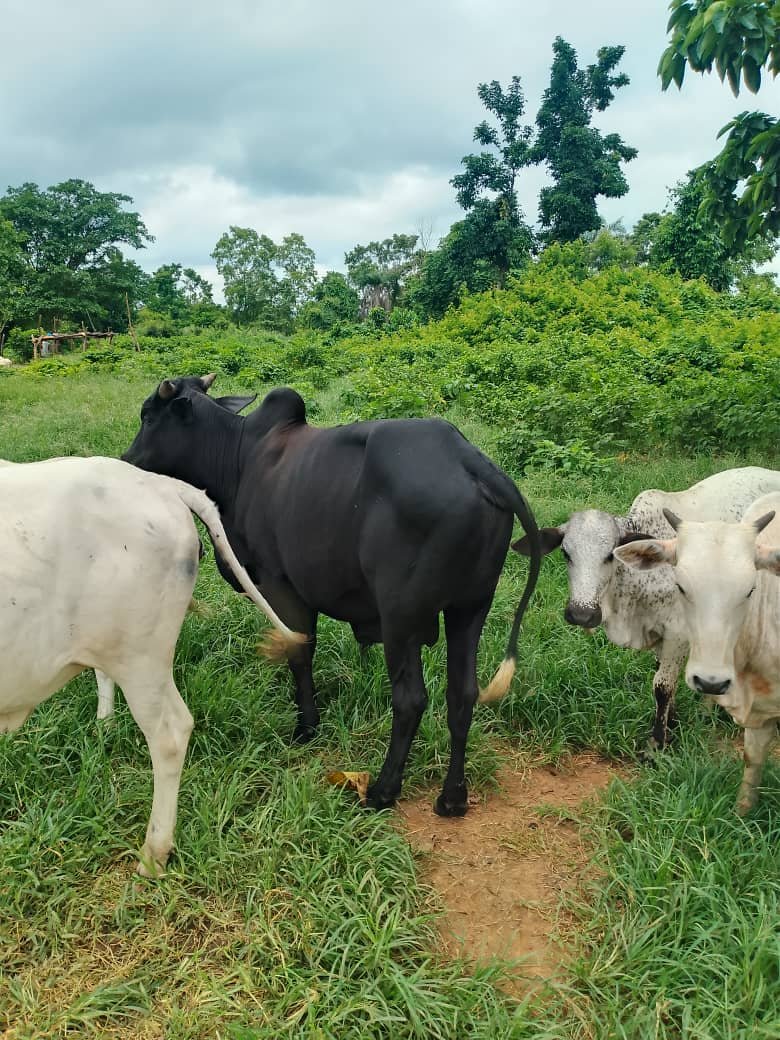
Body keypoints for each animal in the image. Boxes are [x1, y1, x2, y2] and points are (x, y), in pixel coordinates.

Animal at [122, 375, 541, 816]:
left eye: (148, 416)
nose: (127, 459)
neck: (237, 459)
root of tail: (472, 463)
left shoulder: (282, 585)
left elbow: (299, 652)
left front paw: (306, 727)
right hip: (470, 608)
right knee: (462, 694)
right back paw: (452, 798)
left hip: (401, 619)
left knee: (410, 699)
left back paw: (383, 790)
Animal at [513, 467, 780, 752]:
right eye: (565, 553)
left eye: (610, 555)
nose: (581, 614)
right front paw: (672, 721)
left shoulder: (678, 634)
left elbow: (662, 686)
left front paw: (657, 743)